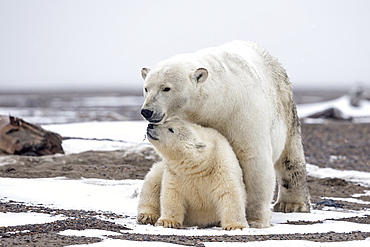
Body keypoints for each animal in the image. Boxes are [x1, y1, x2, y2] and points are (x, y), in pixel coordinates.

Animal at [137, 40, 310, 228]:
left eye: (166, 88)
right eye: (146, 88)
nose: (147, 111)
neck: (220, 101)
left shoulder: (242, 115)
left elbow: (254, 161)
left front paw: (255, 220)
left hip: (285, 104)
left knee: (290, 157)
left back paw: (291, 204)